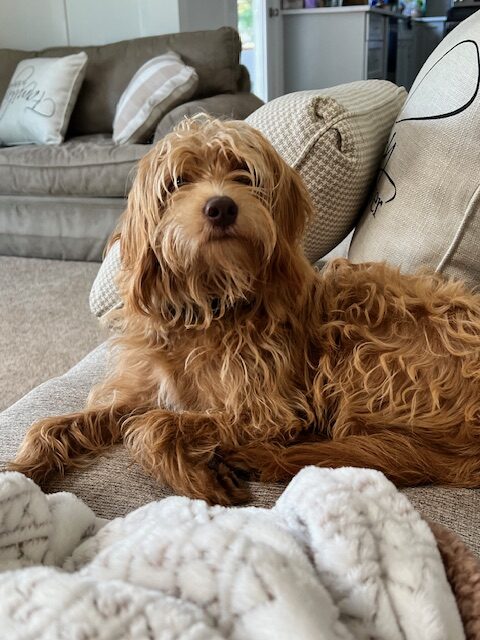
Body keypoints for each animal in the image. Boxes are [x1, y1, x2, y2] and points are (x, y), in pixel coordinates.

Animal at [10, 115, 480, 504]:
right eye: (178, 181)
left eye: (244, 173)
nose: (221, 206)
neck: (210, 303)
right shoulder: (142, 392)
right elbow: (52, 425)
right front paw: (21, 471)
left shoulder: (269, 410)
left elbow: (149, 428)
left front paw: (195, 479)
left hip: (360, 341)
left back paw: (254, 457)